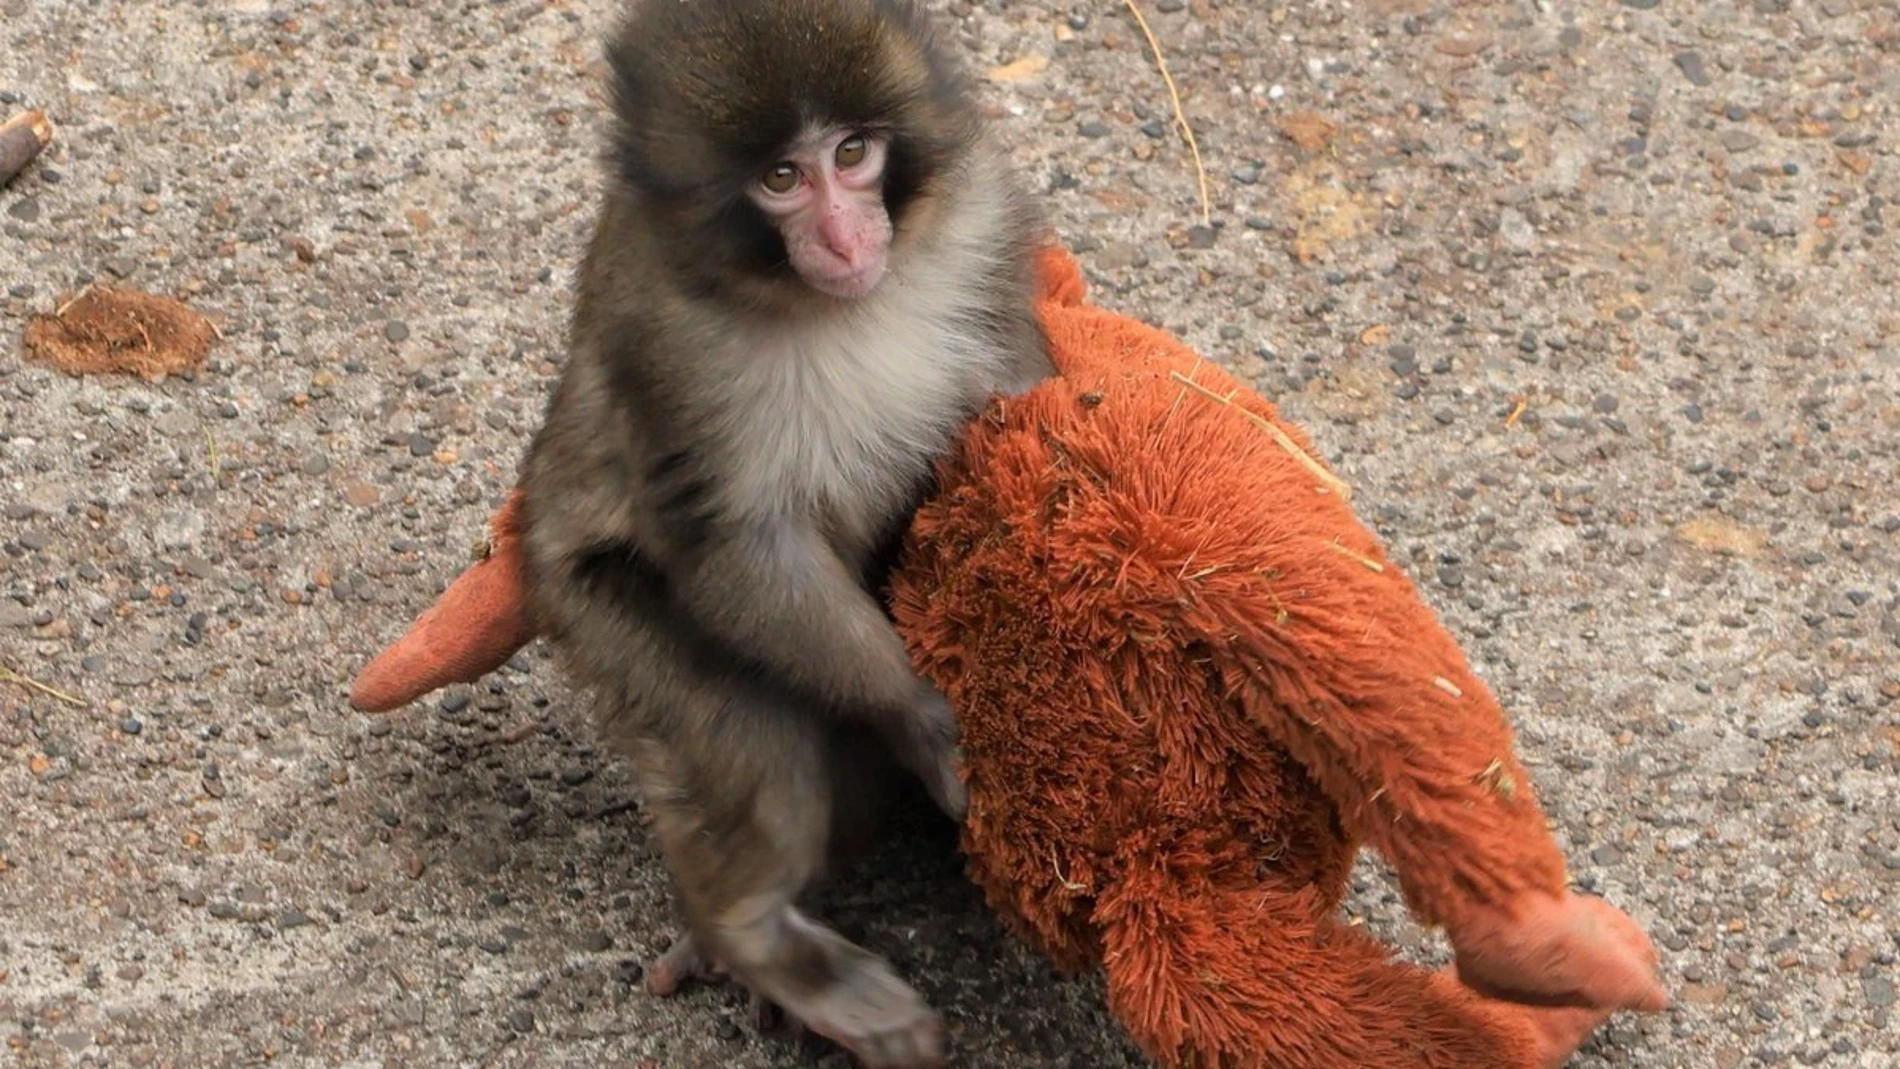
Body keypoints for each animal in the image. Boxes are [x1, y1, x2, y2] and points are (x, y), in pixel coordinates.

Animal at [514, 0, 1055, 1064]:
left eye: (851, 153)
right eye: (780, 179)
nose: (846, 237)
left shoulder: (978, 223)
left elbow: (1023, 391)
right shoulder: (668, 340)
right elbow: (735, 547)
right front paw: (924, 715)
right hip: (595, 610)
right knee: (760, 746)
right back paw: (752, 935)